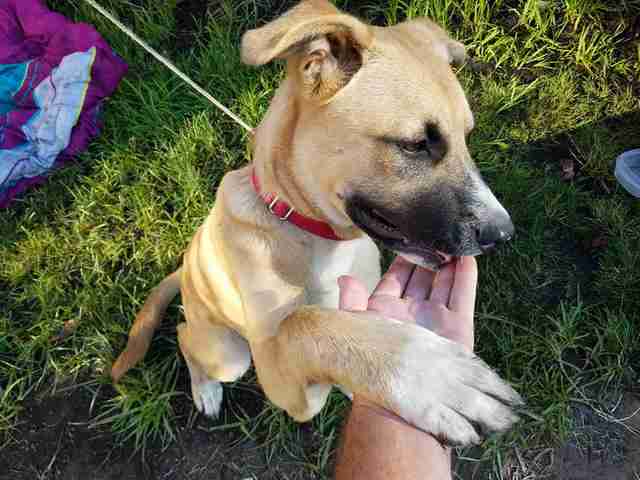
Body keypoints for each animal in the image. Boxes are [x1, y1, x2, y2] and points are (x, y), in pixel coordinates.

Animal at [112, 0, 524, 444]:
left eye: (467, 136)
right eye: (415, 145)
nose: (503, 233)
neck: (315, 237)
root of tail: (186, 268)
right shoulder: (280, 375)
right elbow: (305, 324)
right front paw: (429, 375)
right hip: (231, 355)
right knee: (185, 336)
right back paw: (204, 388)